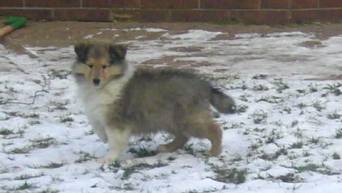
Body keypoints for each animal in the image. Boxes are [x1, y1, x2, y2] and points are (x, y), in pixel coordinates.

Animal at [73, 41, 235, 163]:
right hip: (169, 119)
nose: (96, 80)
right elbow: (97, 126)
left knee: (215, 130)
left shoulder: (116, 120)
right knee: (183, 136)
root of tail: (203, 85)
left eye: (105, 66)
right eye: (90, 65)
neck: (106, 85)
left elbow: (114, 140)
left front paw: (108, 159)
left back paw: (213, 152)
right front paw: (103, 137)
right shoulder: (97, 111)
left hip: (187, 119)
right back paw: (167, 148)